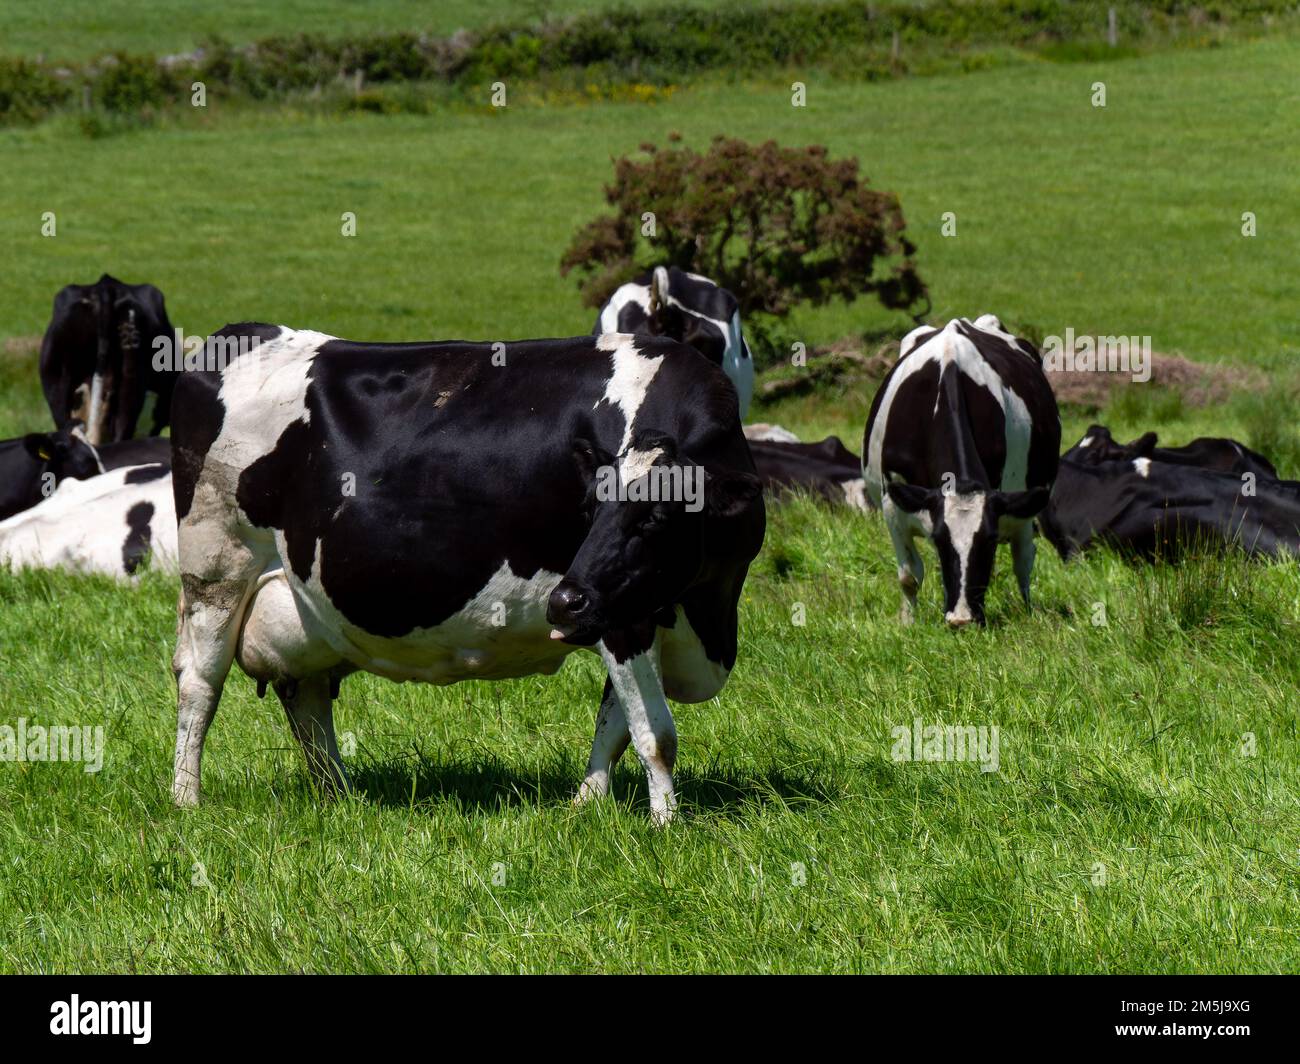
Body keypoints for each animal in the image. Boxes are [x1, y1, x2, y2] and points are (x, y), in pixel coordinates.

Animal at [169, 325, 765, 824]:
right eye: (589, 507)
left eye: (658, 515)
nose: (564, 602)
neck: (708, 611)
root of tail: (239, 336)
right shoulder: (621, 613)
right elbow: (654, 733)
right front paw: (665, 827)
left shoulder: (640, 606)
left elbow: (614, 723)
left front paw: (586, 806)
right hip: (216, 566)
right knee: (199, 682)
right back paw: (185, 799)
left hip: (302, 601)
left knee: (307, 696)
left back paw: (340, 797)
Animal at [863, 315, 1060, 627]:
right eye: (939, 539)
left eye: (989, 541)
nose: (962, 619)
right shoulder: (893, 505)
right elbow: (909, 576)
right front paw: (907, 623)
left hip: (1026, 506)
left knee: (1024, 560)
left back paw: (1028, 609)